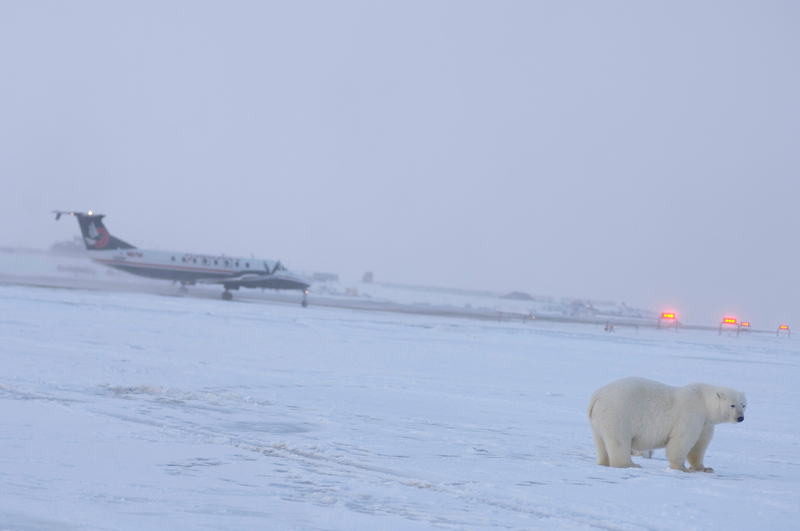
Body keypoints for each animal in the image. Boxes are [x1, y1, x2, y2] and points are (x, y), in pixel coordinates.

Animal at [584, 376, 748, 472]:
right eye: (732, 405)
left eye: (744, 405)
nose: (741, 418)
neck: (704, 402)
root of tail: (595, 397)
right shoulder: (691, 414)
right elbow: (682, 441)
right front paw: (681, 468)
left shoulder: (705, 424)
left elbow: (699, 445)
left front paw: (704, 468)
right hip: (618, 413)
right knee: (619, 440)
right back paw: (630, 464)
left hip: (598, 420)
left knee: (600, 441)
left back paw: (604, 462)